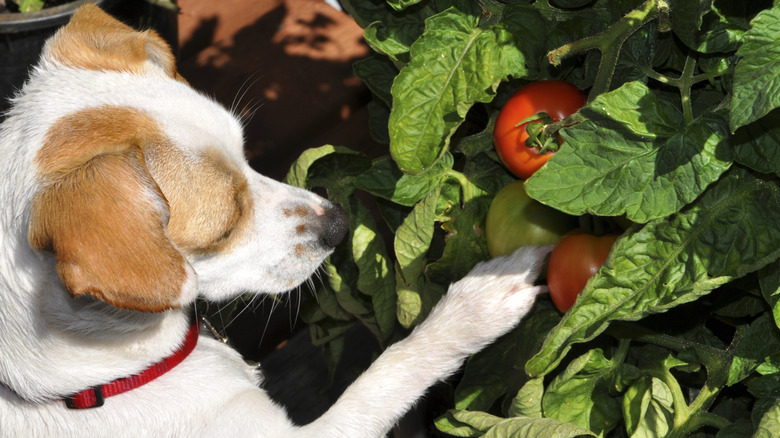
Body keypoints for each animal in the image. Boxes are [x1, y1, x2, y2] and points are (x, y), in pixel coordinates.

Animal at [0, 5, 548, 436]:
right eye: (224, 228)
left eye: (247, 154)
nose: (338, 223)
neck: (93, 382)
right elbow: (389, 370)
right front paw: (478, 304)